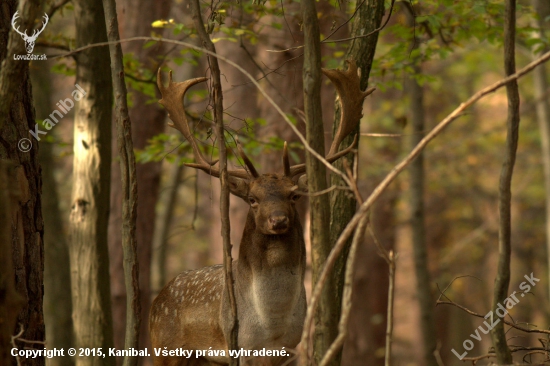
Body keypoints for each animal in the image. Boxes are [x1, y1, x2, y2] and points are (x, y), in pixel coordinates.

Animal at [150, 58, 376, 364]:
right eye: (252, 199)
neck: (272, 326)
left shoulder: (290, 350)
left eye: (294, 195)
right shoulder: (239, 346)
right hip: (163, 347)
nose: (278, 220)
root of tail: (157, 298)